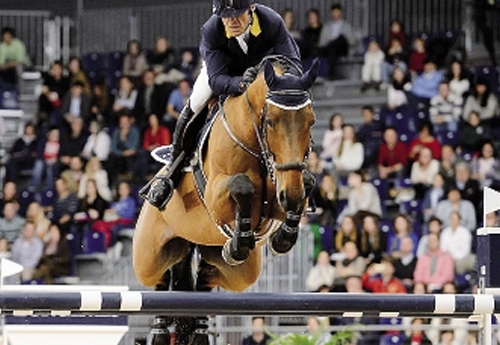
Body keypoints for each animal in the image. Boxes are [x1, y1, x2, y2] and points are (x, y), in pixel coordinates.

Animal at [133, 55, 318, 342]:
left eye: (311, 121)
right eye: (271, 121)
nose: (290, 194)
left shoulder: (286, 187)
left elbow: (305, 184)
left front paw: (281, 238)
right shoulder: (216, 197)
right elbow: (241, 186)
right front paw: (242, 237)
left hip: (234, 270)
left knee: (203, 280)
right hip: (149, 256)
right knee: (160, 282)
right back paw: (160, 331)